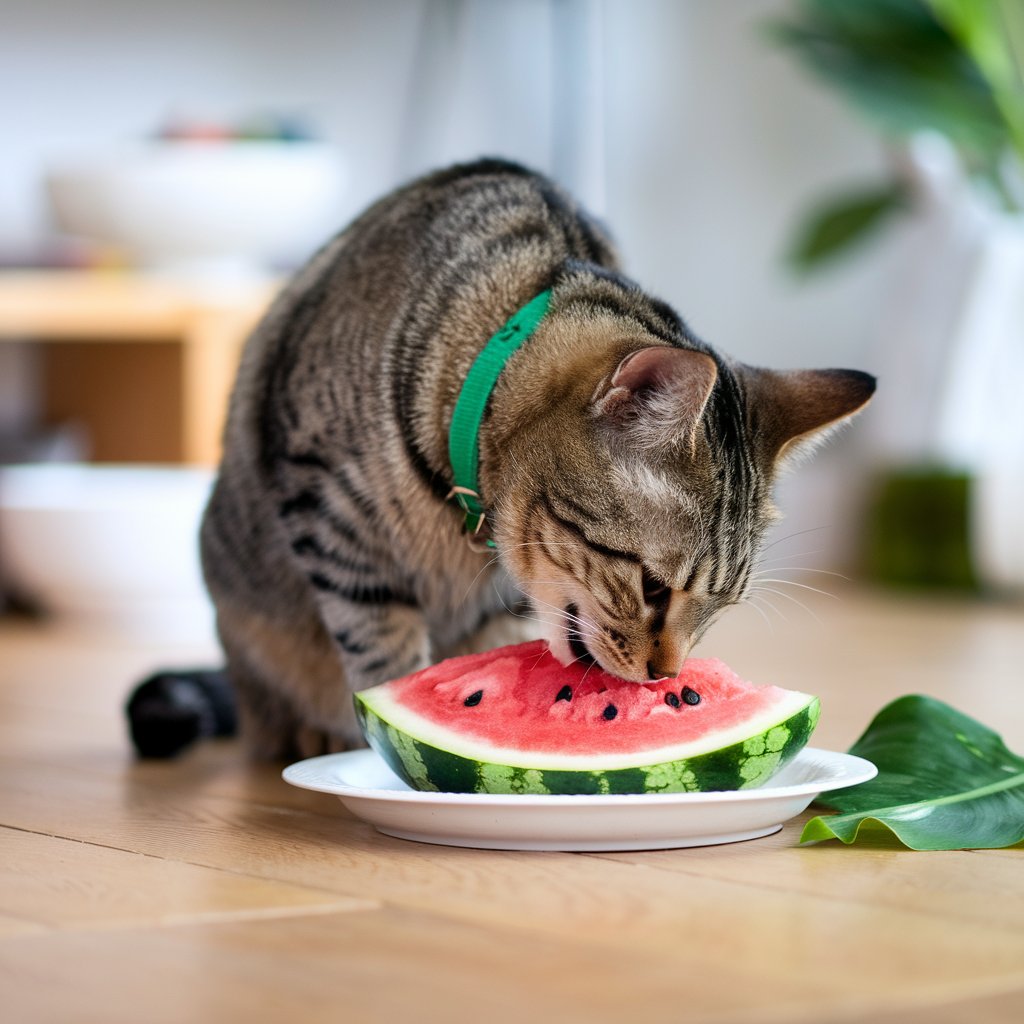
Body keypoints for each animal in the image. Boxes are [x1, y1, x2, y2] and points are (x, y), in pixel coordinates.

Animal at [123, 159, 876, 761]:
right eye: (654, 588)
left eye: (721, 607)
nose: (667, 678)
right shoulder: (327, 508)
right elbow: (380, 649)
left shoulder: (501, 599)